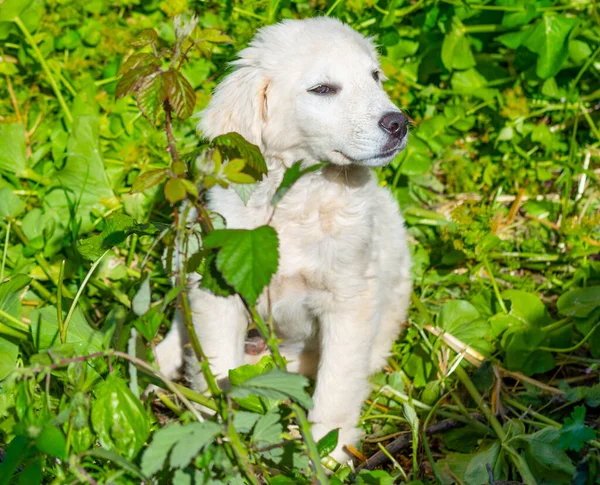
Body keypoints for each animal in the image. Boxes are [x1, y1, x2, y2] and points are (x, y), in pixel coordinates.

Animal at [156, 16, 412, 462]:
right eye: (323, 89)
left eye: (375, 77)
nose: (398, 123)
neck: (296, 199)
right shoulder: (218, 287)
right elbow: (216, 365)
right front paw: (222, 435)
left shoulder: (350, 299)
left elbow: (338, 380)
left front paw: (330, 451)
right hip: (183, 250)